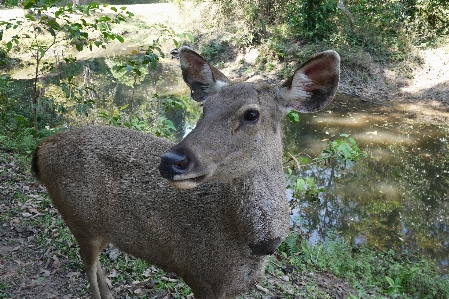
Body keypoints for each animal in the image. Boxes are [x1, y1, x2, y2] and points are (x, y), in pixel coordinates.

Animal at [31, 46, 338, 298]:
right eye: (205, 108)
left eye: (252, 114)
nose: (171, 161)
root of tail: (40, 149)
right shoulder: (200, 277)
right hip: (78, 220)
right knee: (90, 270)